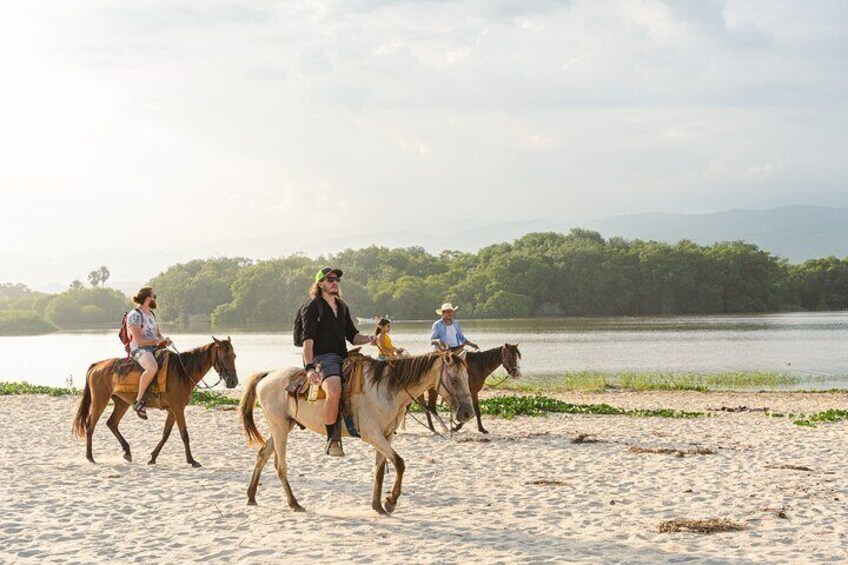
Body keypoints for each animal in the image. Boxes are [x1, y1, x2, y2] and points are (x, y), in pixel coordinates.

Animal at [72, 338, 238, 464]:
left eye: (234, 356)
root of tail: (97, 366)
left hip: (121, 403)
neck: (182, 372)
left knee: (111, 423)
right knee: (90, 425)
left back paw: (127, 451)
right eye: (224, 356)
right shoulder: (178, 408)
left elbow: (166, 434)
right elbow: (184, 434)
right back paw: (90, 457)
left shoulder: (173, 409)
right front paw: (191, 460)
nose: (233, 382)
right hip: (100, 401)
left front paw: (152, 458)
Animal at [240, 350, 476, 512]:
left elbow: (381, 469)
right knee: (280, 465)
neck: (386, 389)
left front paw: (378, 506)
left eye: (467, 378)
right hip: (279, 426)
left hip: (283, 426)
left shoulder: (386, 436)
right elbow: (399, 463)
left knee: (262, 455)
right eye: (455, 379)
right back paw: (294, 503)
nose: (467, 413)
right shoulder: (373, 435)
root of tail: (267, 375)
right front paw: (391, 501)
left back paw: (251, 495)